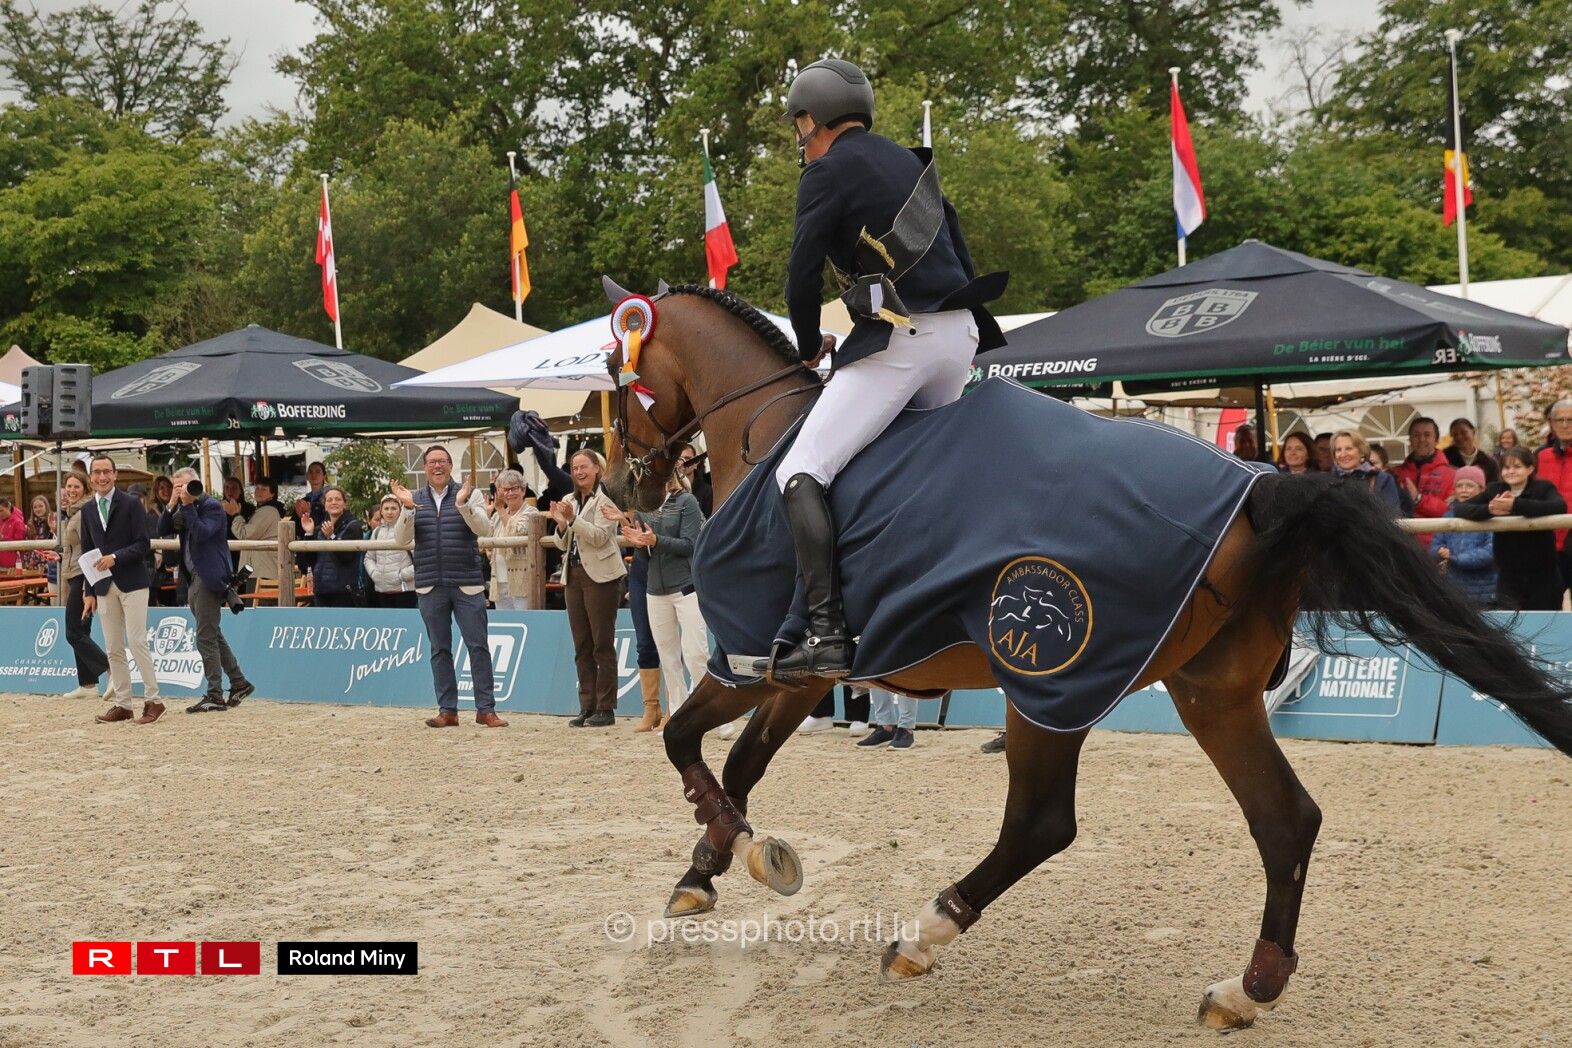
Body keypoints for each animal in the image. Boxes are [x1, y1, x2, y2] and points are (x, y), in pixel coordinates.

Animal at [599, 281, 1572, 1030]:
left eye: (613, 380)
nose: (617, 487)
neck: (773, 437)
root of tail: (1262, 489)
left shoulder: (746, 661)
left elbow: (686, 743)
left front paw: (744, 853)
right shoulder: (801, 678)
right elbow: (739, 763)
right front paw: (704, 872)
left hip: (1047, 687)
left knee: (1041, 823)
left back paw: (924, 934)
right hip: (1211, 691)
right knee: (1285, 820)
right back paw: (1247, 989)